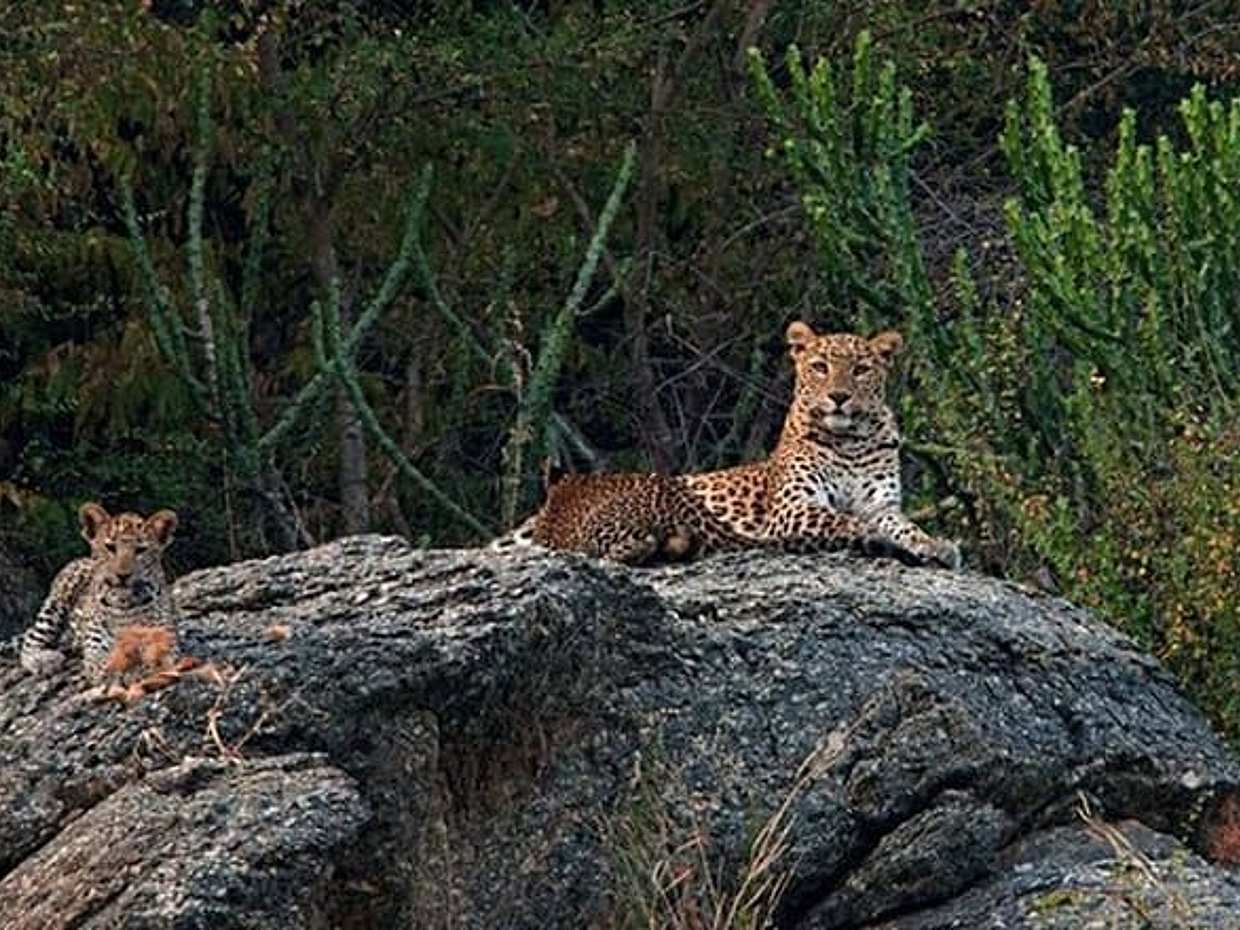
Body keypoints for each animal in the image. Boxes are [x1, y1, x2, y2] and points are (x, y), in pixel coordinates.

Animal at [20, 502, 182, 681]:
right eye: (110, 547)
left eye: (141, 550)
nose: (123, 575)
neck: (124, 603)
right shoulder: (96, 644)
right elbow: (105, 663)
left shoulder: (164, 634)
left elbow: (159, 653)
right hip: (57, 601)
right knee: (32, 636)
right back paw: (42, 659)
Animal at [493, 321, 959, 569]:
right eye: (820, 367)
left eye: (861, 369)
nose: (839, 397)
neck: (851, 441)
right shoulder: (791, 508)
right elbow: (844, 520)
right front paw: (887, 542)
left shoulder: (881, 505)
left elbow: (902, 525)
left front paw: (935, 545)